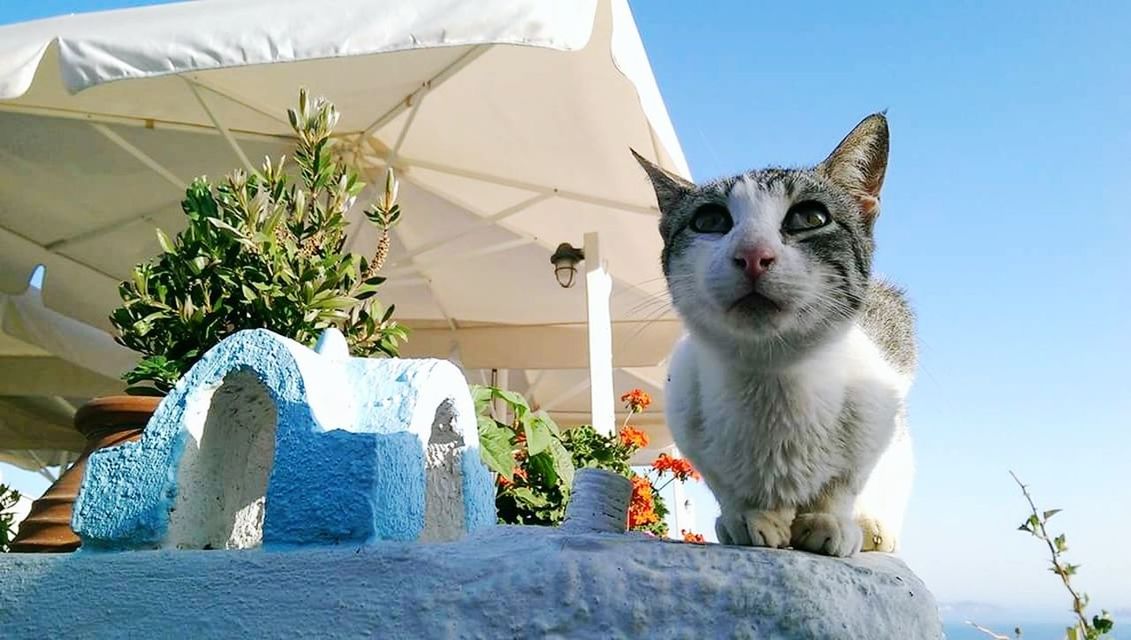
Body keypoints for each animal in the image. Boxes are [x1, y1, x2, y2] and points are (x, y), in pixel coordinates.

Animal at [633, 114, 913, 556]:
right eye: (709, 221)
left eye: (810, 218)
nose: (752, 255)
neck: (774, 380)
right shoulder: (684, 412)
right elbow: (726, 486)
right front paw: (752, 516)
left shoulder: (880, 408)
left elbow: (845, 481)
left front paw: (829, 519)